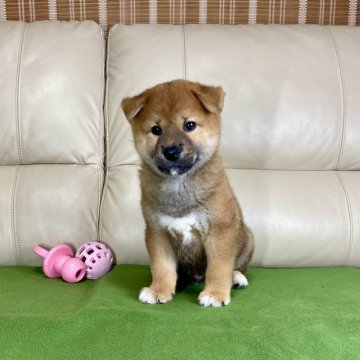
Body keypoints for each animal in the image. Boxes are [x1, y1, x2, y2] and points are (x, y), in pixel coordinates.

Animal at [121, 79, 253, 306]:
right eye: (156, 129)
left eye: (189, 125)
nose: (171, 151)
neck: (179, 185)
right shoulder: (157, 232)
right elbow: (162, 267)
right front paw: (159, 289)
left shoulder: (219, 231)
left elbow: (219, 267)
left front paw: (215, 293)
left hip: (247, 240)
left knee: (235, 266)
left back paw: (236, 277)